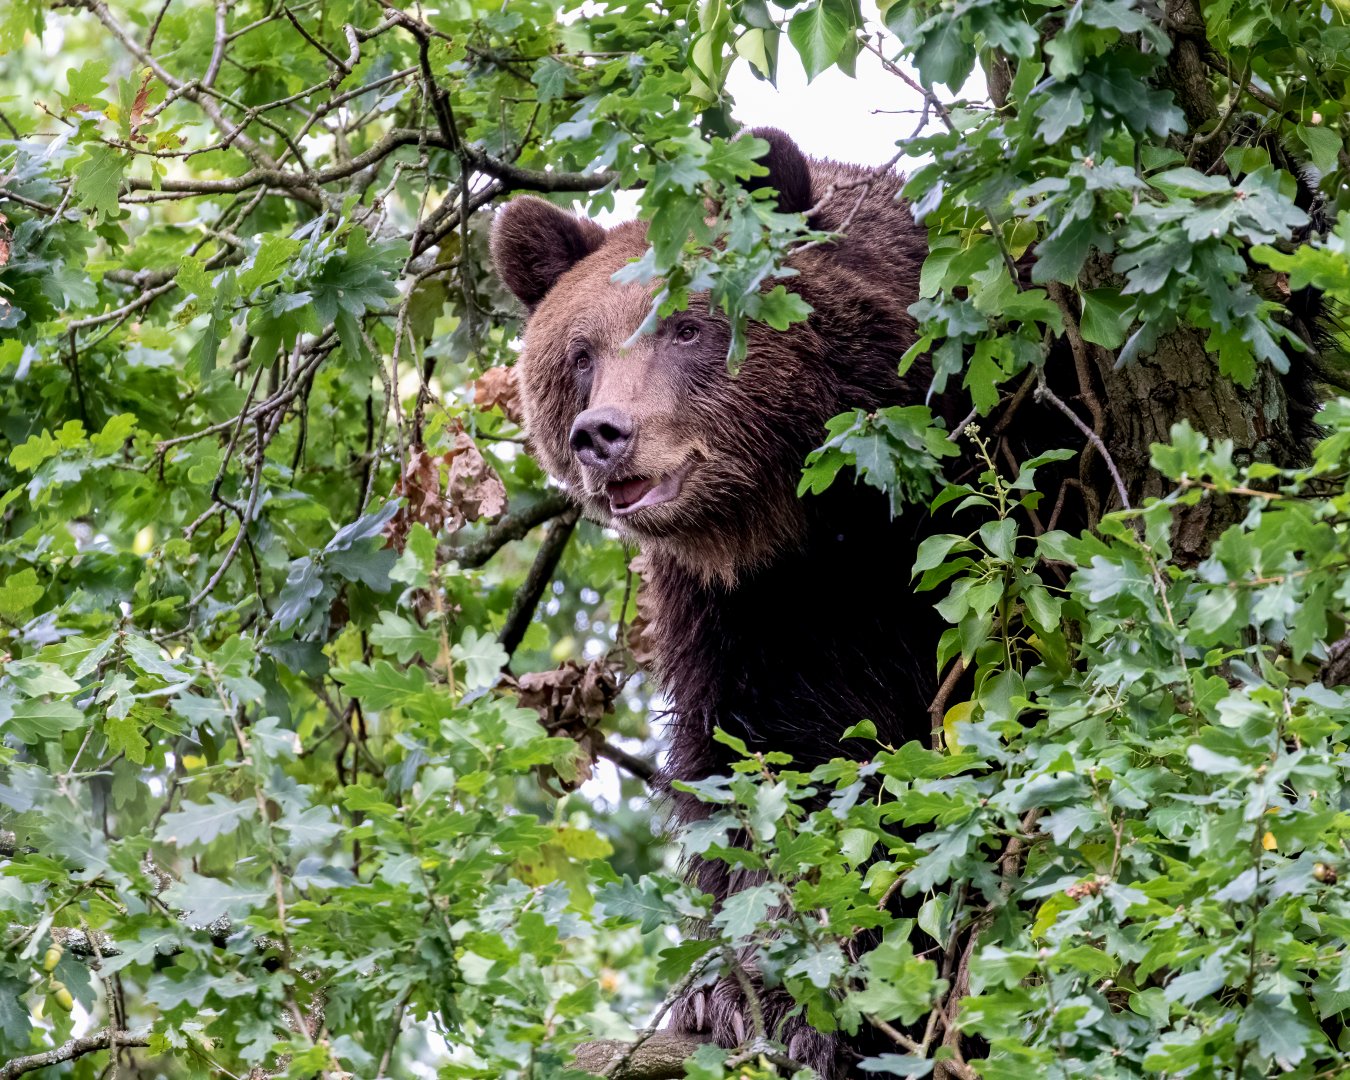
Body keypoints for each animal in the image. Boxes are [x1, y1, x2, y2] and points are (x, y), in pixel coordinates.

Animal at [491, 128, 959, 1078]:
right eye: (582, 353)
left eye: (688, 325)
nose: (603, 435)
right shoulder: (751, 611)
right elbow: (777, 767)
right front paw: (746, 997)